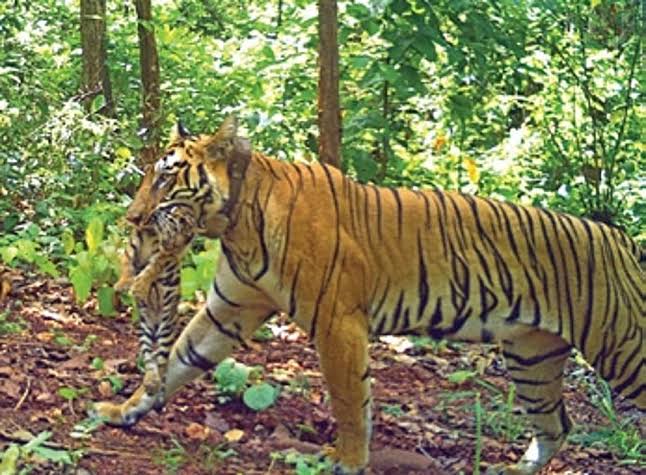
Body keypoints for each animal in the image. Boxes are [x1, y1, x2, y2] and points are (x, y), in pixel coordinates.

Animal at [92, 115, 645, 475]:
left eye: (165, 176)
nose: (132, 221)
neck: (236, 221)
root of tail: (622, 239)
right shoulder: (229, 308)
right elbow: (180, 358)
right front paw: (125, 410)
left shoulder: (338, 322)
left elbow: (349, 401)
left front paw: (346, 461)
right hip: (533, 358)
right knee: (556, 426)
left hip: (622, 348)